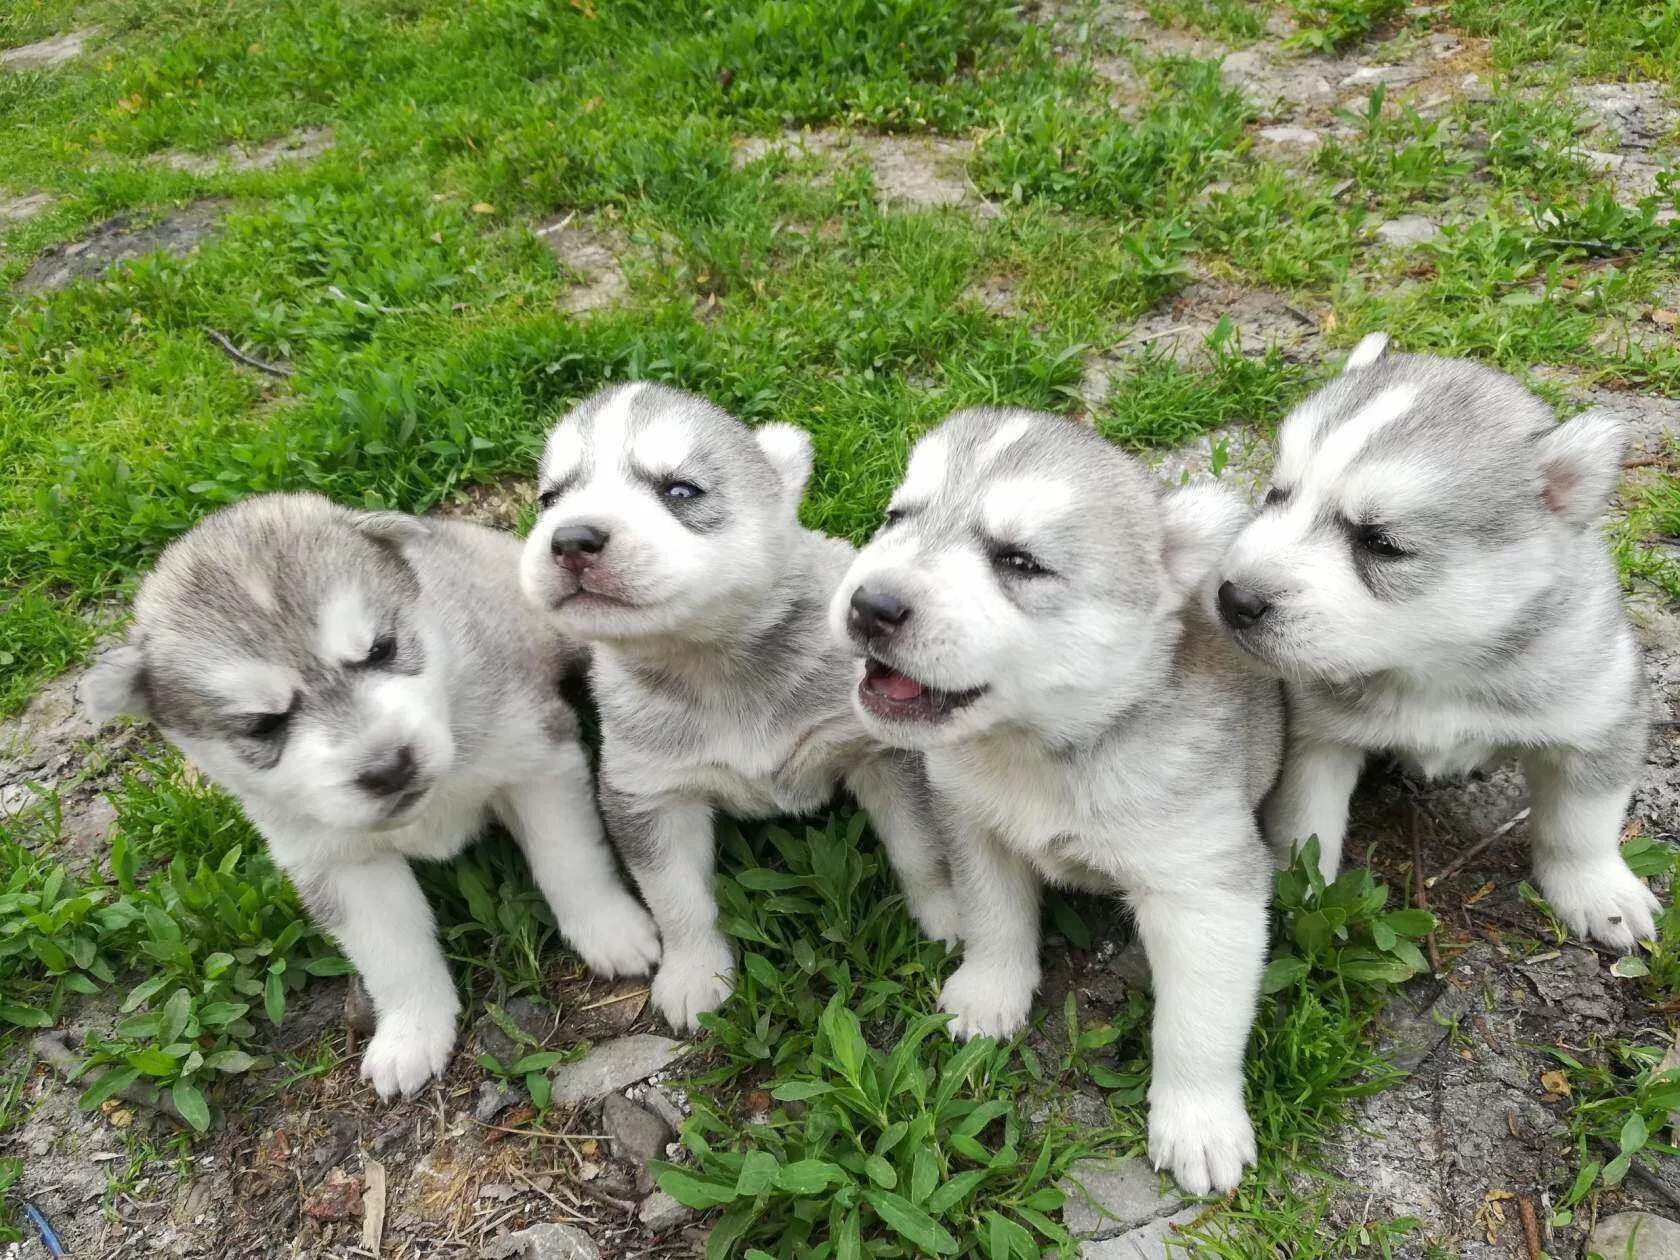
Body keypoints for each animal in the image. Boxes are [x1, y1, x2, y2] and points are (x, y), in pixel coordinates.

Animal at [85, 493, 658, 1102]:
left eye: (382, 649)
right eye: (263, 724)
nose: (389, 767)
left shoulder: (537, 761)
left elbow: (569, 862)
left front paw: (611, 930)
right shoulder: (336, 862)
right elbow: (393, 953)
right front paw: (412, 1031)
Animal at [510, 383, 960, 1034]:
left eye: (680, 490)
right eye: (550, 498)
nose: (570, 539)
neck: (713, 667)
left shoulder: (882, 751)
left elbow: (920, 850)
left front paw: (947, 917)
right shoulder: (648, 793)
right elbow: (676, 898)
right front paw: (694, 973)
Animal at [829, 409, 1283, 1196]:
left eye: (1019, 561)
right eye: (896, 517)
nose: (869, 604)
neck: (1041, 754)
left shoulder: (1206, 886)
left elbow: (1198, 1020)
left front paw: (1198, 1121)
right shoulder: (972, 820)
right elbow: (994, 915)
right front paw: (990, 993)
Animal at [1216, 330, 1659, 954]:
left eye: (1382, 543)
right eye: (1277, 495)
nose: (1234, 599)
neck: (1434, 671)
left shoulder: (1599, 710)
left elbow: (1582, 822)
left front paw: (1597, 888)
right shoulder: (1315, 736)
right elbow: (1306, 822)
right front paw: (1300, 891)